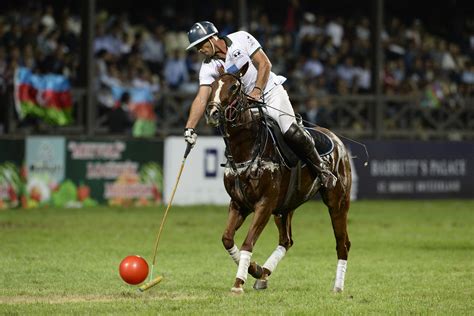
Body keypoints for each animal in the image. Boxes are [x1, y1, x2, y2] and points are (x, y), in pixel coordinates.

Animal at [205, 63, 352, 296]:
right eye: (211, 86)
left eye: (234, 87)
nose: (213, 112)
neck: (247, 149)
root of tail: (336, 139)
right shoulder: (238, 203)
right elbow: (227, 238)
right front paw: (254, 269)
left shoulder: (264, 204)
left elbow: (248, 242)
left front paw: (238, 282)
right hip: (285, 207)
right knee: (286, 240)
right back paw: (263, 274)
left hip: (337, 201)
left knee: (342, 243)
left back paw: (337, 286)